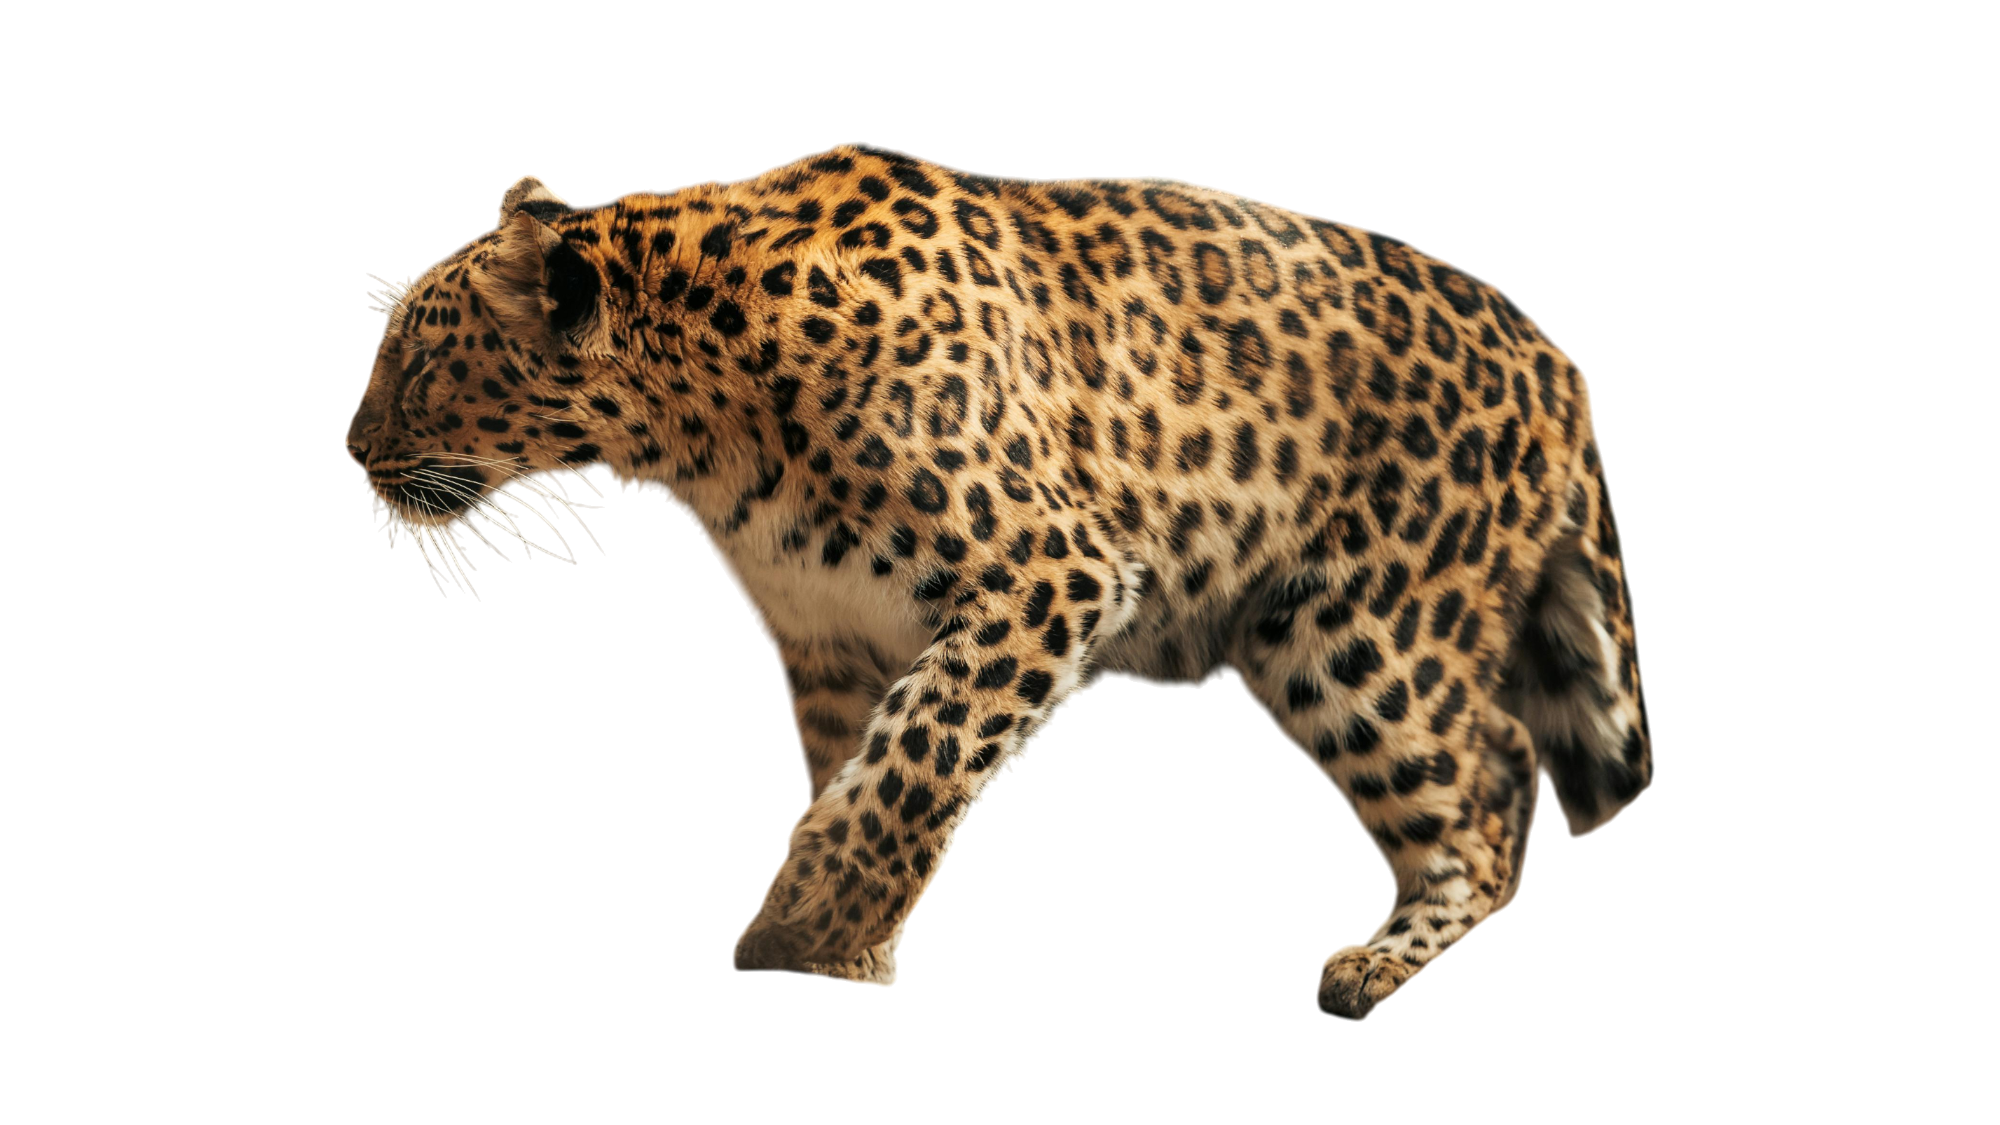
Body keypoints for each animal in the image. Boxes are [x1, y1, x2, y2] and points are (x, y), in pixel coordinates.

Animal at [346, 142, 1653, 1020]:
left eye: (414, 357)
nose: (348, 451)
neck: (698, 430)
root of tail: (1557, 357)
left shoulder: (1046, 576)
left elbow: (912, 762)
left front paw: (795, 928)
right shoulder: (828, 647)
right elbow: (861, 777)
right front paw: (844, 942)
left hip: (1360, 632)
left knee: (1489, 780)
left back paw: (1372, 966)